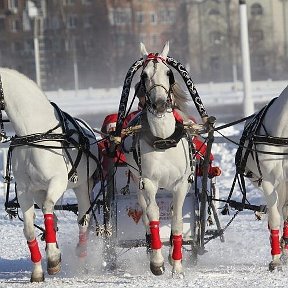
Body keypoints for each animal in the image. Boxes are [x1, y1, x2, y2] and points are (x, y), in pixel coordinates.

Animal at [0, 67, 100, 282]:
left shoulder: (58, 181)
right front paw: (39, 270)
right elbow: (29, 229)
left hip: (82, 187)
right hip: (39, 190)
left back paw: (80, 254)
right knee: (52, 218)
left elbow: (47, 207)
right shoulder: (24, 189)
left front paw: (53, 258)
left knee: (83, 219)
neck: (34, 135)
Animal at [124, 42, 194, 276]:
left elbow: (177, 219)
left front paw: (177, 264)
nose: (161, 104)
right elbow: (153, 214)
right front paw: (157, 262)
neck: (163, 139)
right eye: (144, 75)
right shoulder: (148, 182)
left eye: (169, 73)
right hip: (136, 182)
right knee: (145, 213)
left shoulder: (181, 184)